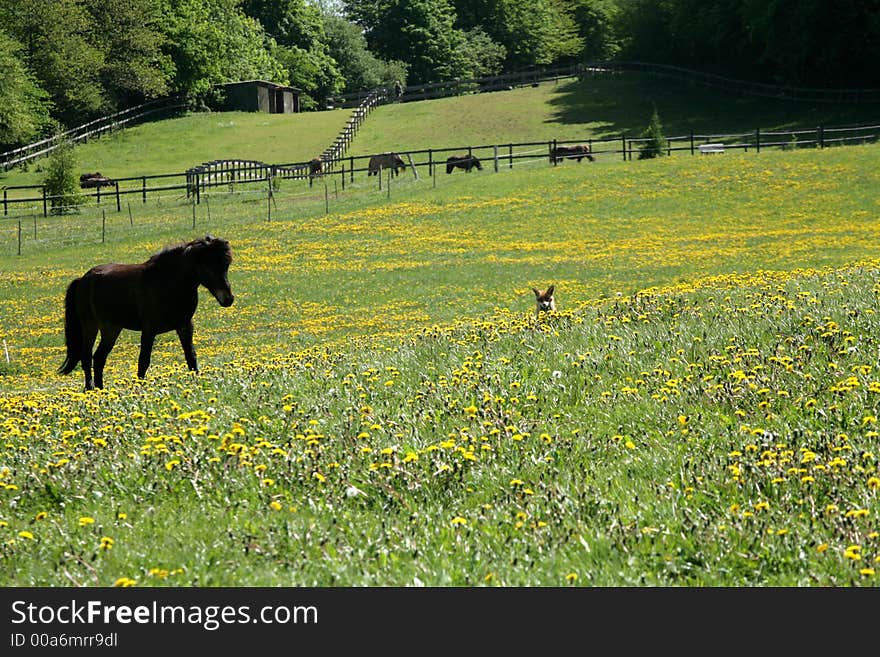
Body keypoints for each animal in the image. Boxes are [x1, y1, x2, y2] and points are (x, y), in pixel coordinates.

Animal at [59, 236, 235, 390]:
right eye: (208, 266)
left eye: (226, 265)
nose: (228, 299)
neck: (167, 283)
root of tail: (83, 279)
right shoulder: (149, 330)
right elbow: (143, 361)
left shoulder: (185, 326)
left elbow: (191, 356)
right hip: (91, 326)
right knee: (87, 357)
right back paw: (90, 389)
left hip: (111, 329)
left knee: (99, 358)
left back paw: (101, 390)